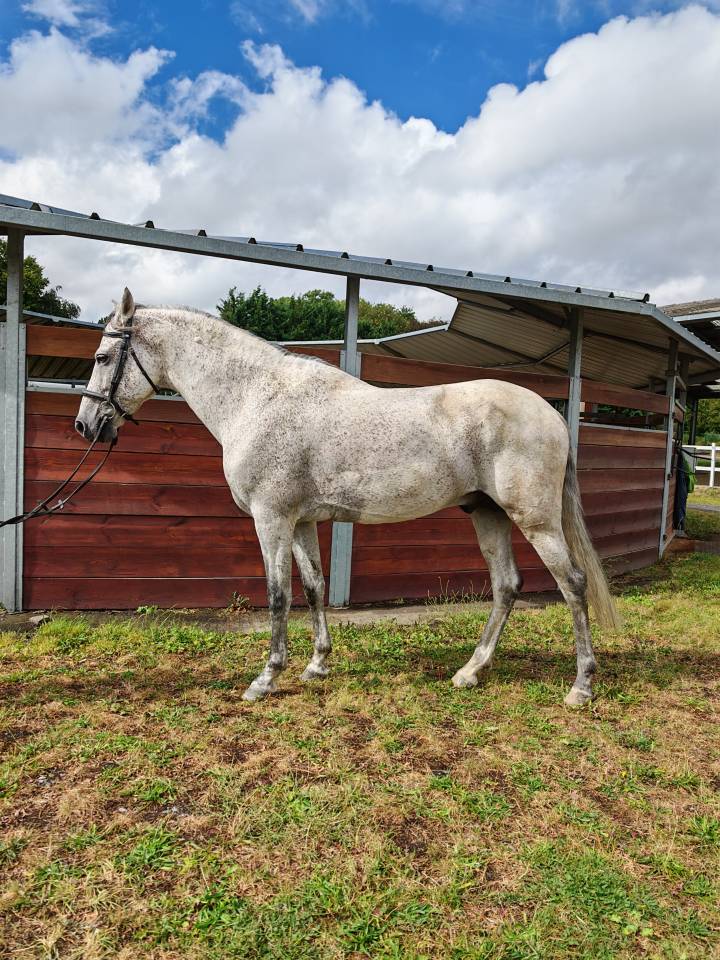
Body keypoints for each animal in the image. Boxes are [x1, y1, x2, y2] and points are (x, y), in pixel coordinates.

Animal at [75, 288, 620, 705]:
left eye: (102, 358)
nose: (86, 425)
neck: (256, 398)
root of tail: (551, 415)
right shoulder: (299, 521)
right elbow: (314, 586)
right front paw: (317, 665)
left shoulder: (271, 519)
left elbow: (278, 594)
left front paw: (265, 679)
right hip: (487, 514)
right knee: (507, 585)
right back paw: (471, 671)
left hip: (535, 520)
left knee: (572, 583)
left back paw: (581, 686)